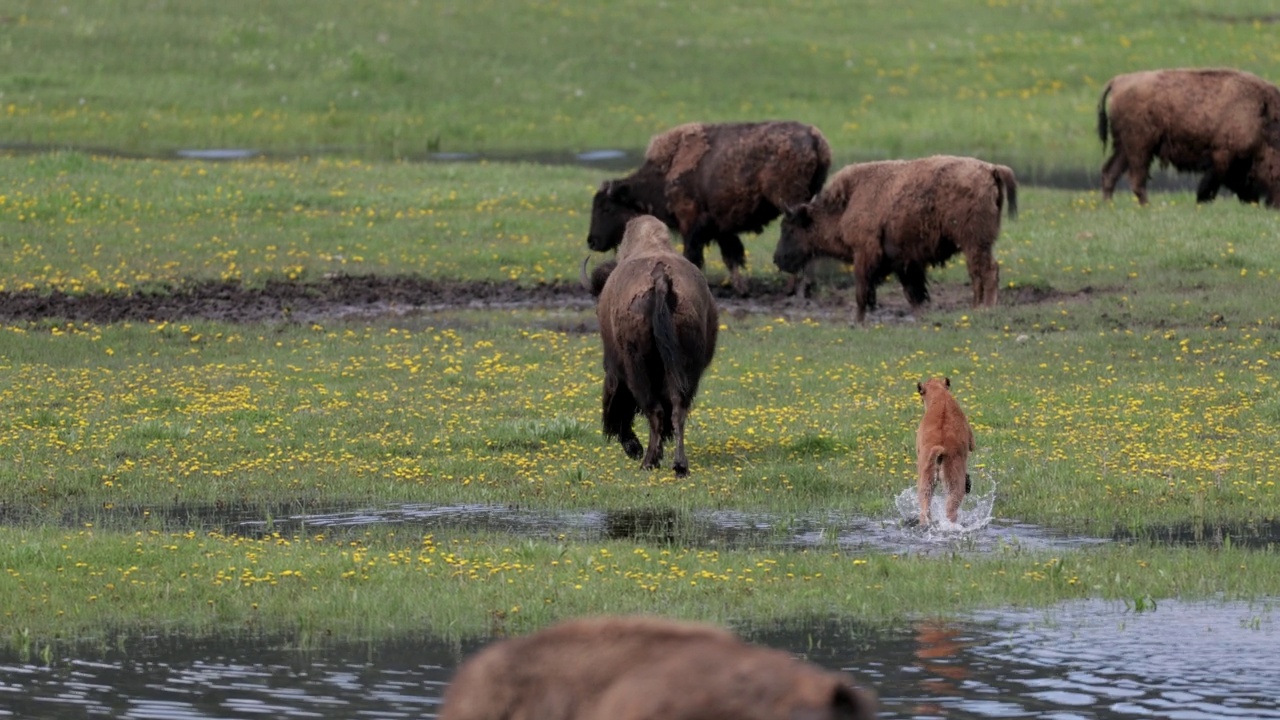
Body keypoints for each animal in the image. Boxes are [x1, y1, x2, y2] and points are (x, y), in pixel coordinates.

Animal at [586, 120, 834, 292]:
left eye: (606, 208)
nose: (592, 241)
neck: (666, 172)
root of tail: (815, 138)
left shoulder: (691, 223)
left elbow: (693, 254)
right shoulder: (721, 228)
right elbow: (731, 257)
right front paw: (741, 288)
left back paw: (793, 286)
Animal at [768, 155, 1018, 322]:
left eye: (789, 229)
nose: (778, 259)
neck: (847, 204)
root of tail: (991, 169)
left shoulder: (864, 255)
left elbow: (862, 293)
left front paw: (857, 322)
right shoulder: (904, 262)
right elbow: (913, 294)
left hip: (974, 243)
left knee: (987, 272)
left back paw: (984, 309)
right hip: (975, 245)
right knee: (978, 275)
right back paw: (976, 308)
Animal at [1095, 66, 1280, 204]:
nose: (1274, 204)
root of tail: (1118, 81)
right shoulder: (1222, 157)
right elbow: (1210, 186)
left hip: (1124, 148)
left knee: (1110, 172)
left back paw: (1109, 205)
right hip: (1140, 147)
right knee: (1136, 178)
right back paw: (1147, 206)